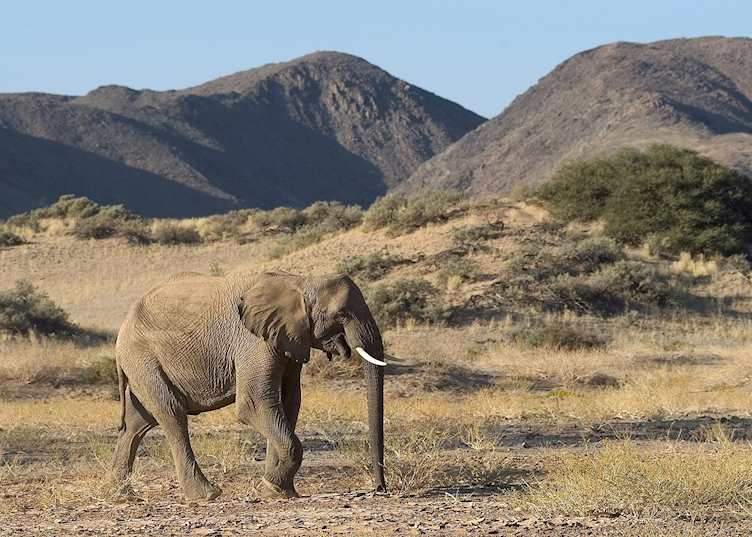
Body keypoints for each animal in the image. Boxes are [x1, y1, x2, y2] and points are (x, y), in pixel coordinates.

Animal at [110, 271, 387, 501]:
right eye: (341, 314)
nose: (380, 488)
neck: (299, 280)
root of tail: (122, 329)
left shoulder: (287, 338)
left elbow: (289, 402)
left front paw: (278, 490)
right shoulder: (252, 341)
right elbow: (254, 404)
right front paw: (274, 488)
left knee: (138, 422)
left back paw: (122, 495)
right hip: (142, 357)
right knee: (172, 414)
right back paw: (206, 495)